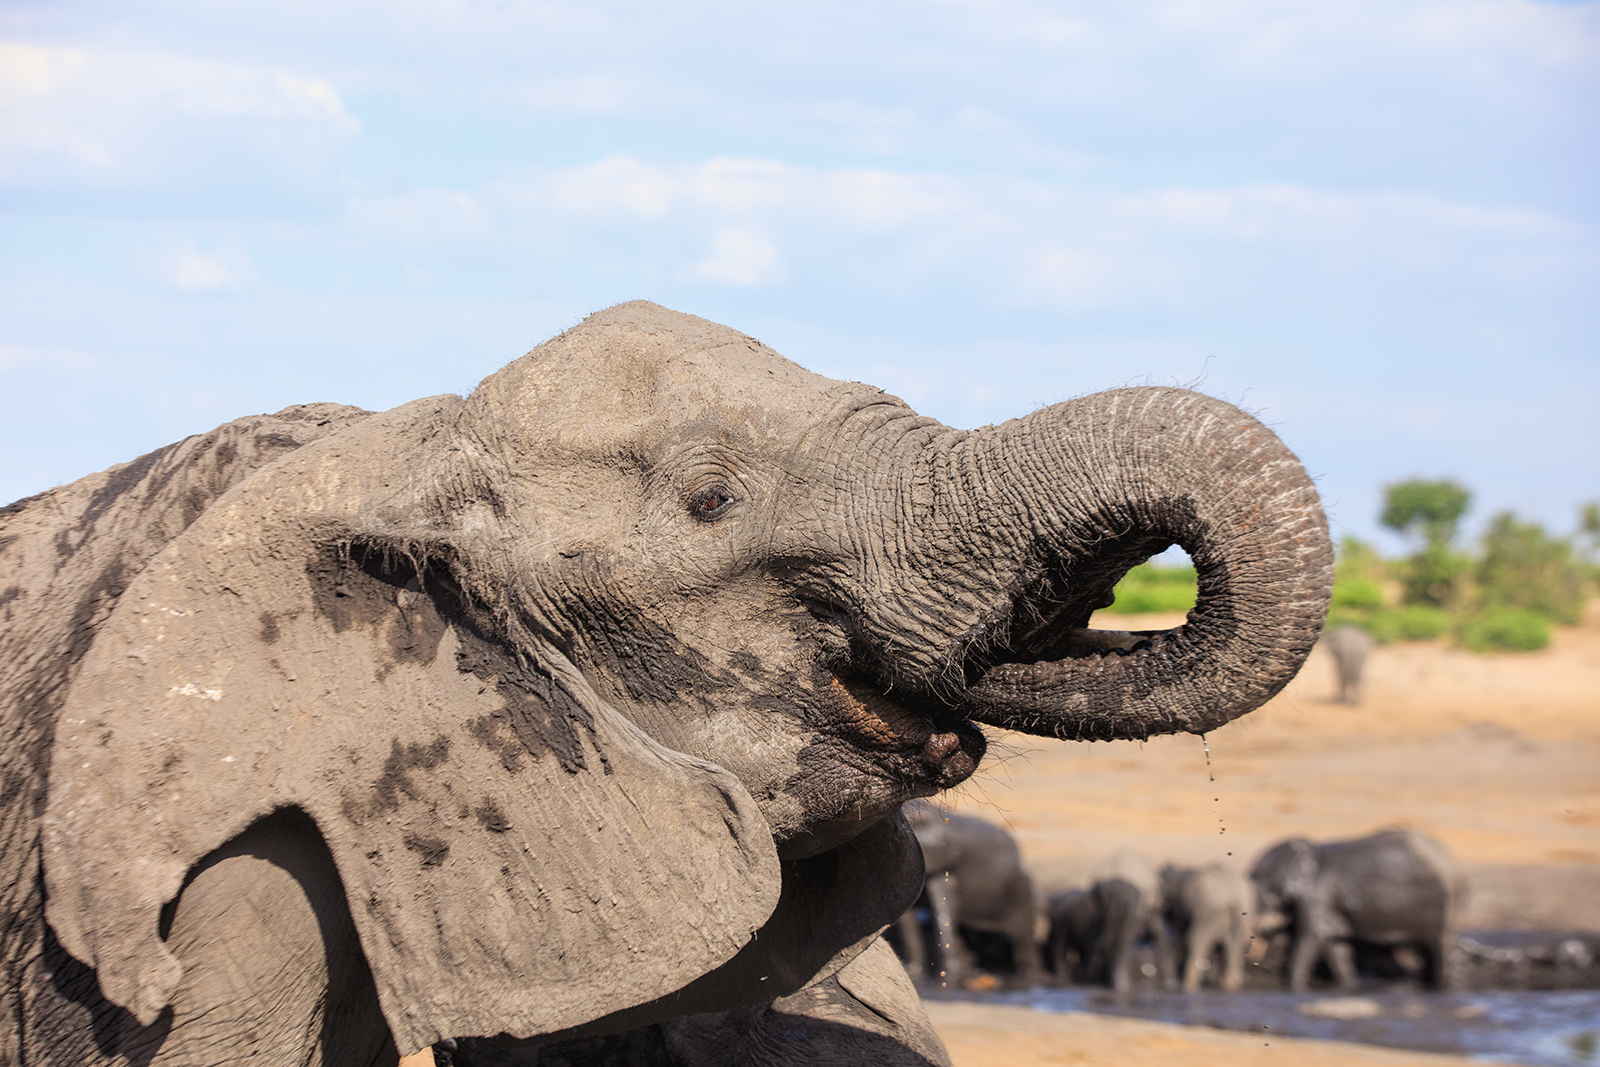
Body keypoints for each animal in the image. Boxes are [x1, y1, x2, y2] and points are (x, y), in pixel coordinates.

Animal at [891, 802, 1041, 987]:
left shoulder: (943, 860)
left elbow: (945, 909)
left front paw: (947, 981)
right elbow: (906, 917)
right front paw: (914, 975)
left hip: (1022, 887)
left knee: (1023, 936)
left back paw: (1028, 979)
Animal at [1159, 862, 1251, 992]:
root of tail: (1233, 898)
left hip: (1208, 914)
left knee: (1195, 942)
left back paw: (1188, 986)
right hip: (1239, 920)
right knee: (1235, 947)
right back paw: (1229, 985)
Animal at [1250, 829, 1462, 992]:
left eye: (1266, 891)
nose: (1256, 960)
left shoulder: (1319, 894)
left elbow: (1312, 936)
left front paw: (1294, 987)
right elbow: (1335, 946)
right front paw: (1349, 986)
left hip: (1441, 912)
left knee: (1439, 951)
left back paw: (1442, 988)